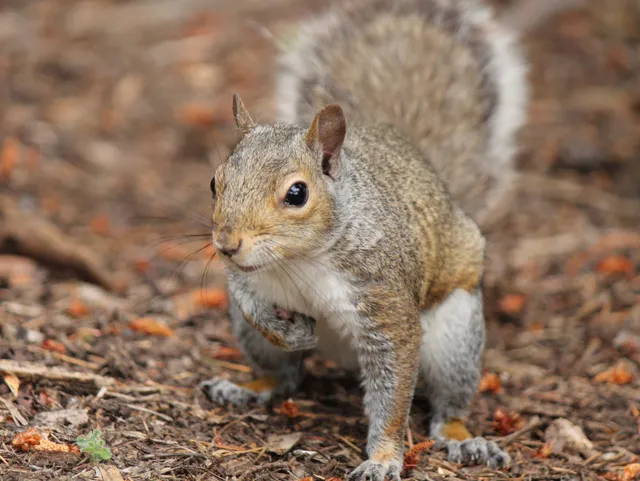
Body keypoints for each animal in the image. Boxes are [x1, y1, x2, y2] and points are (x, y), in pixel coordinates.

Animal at [201, 0, 528, 480]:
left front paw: (383, 459)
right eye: (214, 181)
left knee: (448, 405)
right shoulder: (245, 280)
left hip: (456, 336)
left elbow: (392, 391)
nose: (226, 244)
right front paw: (287, 331)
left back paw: (462, 438)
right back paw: (247, 387)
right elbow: (250, 303)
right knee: (284, 377)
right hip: (251, 342)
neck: (298, 259)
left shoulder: (385, 299)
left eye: (297, 194)